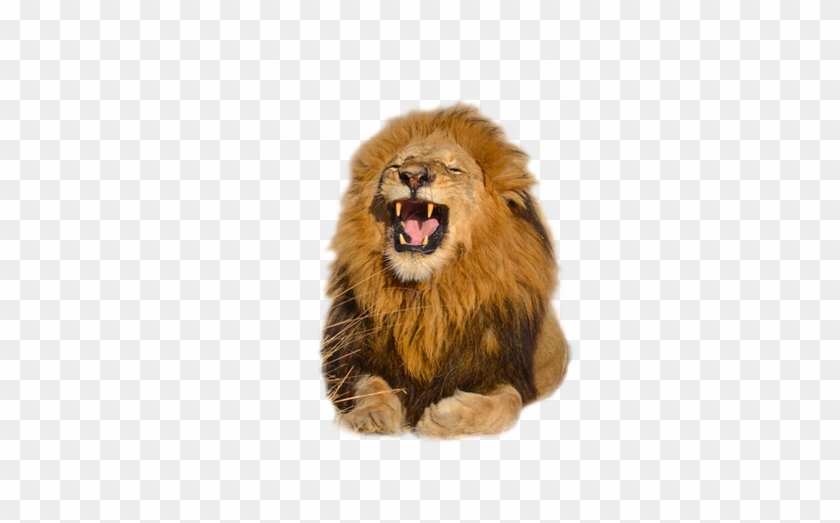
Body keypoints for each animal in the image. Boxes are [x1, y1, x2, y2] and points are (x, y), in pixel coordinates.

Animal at [321, 105, 569, 438]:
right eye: (396, 165)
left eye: (454, 170)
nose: (413, 175)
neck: (426, 296)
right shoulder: (352, 357)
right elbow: (370, 385)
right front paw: (370, 416)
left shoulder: (504, 369)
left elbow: (509, 401)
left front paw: (446, 417)